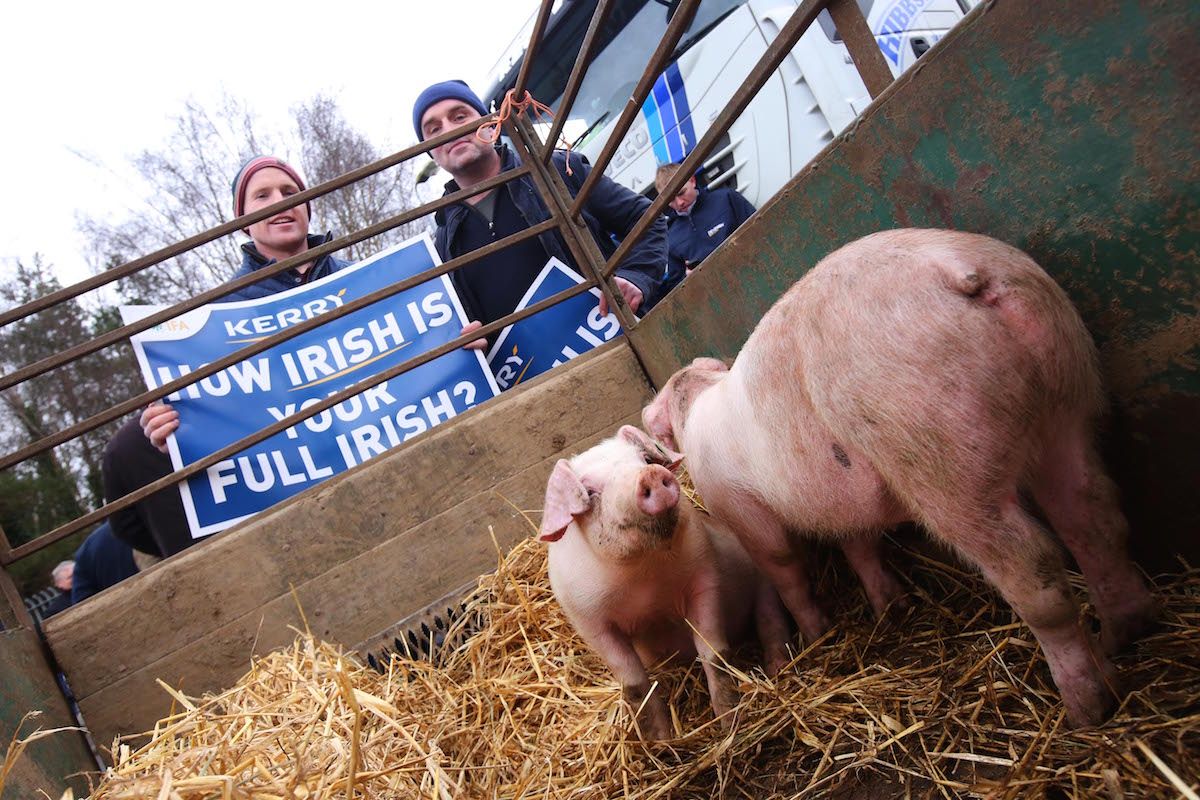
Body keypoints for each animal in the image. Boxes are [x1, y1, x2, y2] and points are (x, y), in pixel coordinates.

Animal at [539, 425, 791, 739]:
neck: (647, 580)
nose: (650, 475)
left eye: (646, 460)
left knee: (771, 621)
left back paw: (779, 669)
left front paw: (728, 723)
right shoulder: (588, 621)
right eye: (589, 491)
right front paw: (660, 741)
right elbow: (634, 683)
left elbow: (713, 653)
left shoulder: (704, 577)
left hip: (763, 584)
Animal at [642, 228, 1158, 729]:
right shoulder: (840, 502)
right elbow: (859, 545)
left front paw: (817, 632)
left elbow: (784, 565)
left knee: (1035, 570)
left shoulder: (739, 505)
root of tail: (954, 267)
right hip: (1067, 394)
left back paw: (1086, 709)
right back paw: (1121, 639)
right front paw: (893, 608)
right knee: (1096, 516)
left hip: (936, 442)